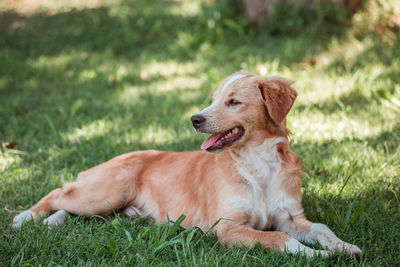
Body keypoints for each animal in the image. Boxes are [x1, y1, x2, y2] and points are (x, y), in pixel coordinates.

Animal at [12, 71, 362, 258]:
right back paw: (25, 216)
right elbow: (280, 239)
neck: (257, 163)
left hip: (111, 208)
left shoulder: (291, 217)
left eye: (233, 101)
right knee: (59, 192)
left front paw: (343, 247)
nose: (195, 119)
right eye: (213, 99)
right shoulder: (227, 226)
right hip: (105, 193)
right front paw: (317, 256)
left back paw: (52, 221)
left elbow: (322, 228)